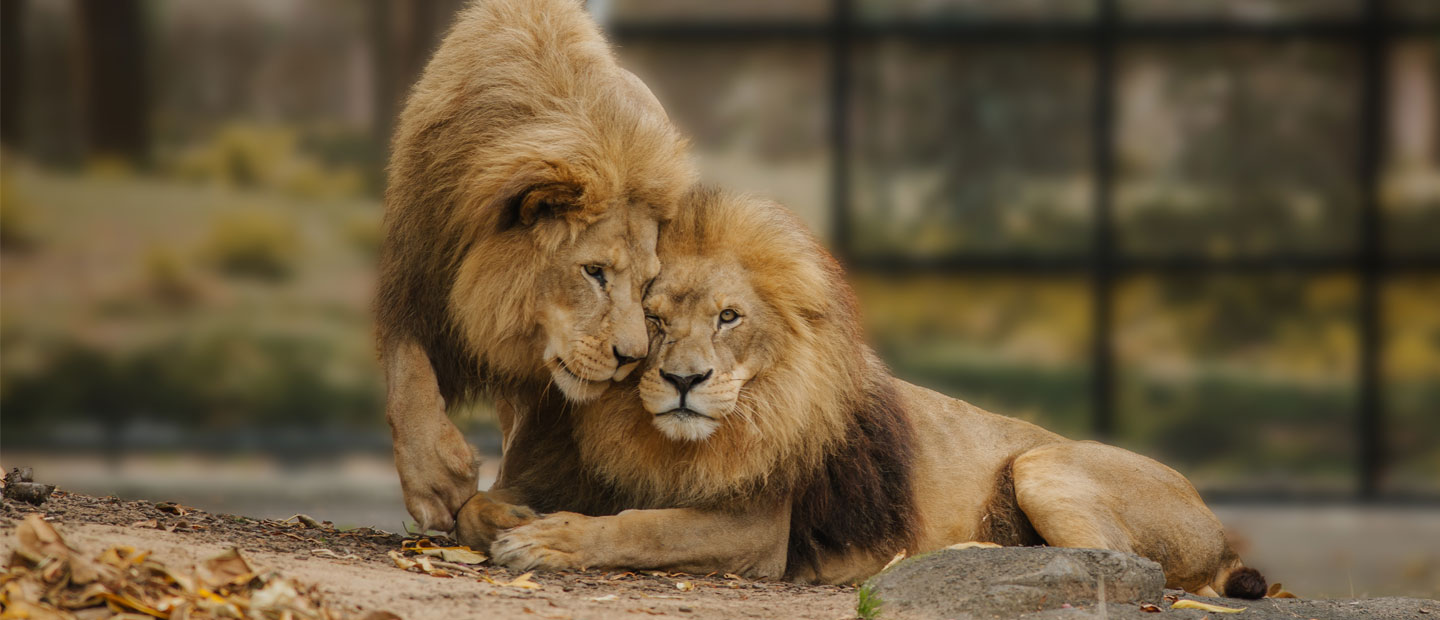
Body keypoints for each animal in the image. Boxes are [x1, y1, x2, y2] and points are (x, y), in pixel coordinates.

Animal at [375, 0, 694, 533]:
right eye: (594, 272)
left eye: (648, 284)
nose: (631, 358)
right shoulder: (414, 280)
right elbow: (407, 381)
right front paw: (438, 481)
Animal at [459, 187, 1268, 598]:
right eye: (654, 320)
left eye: (729, 318)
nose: (686, 380)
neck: (650, 435)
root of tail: (1215, 522)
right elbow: (476, 504)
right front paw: (515, 517)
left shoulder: (757, 531)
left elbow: (642, 526)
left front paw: (549, 540)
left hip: (1043, 464)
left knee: (1130, 567)